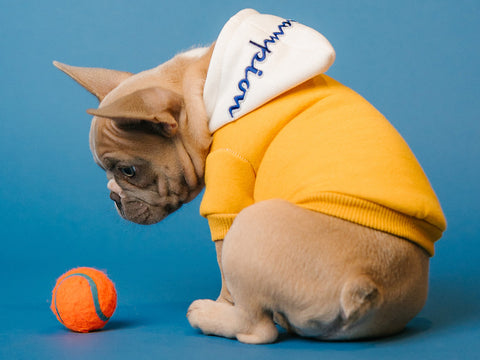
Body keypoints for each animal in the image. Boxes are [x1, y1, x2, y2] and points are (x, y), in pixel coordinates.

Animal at [53, 8, 446, 344]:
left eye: (128, 171)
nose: (112, 196)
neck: (201, 87)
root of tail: (364, 285)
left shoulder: (228, 177)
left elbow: (225, 267)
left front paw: (222, 303)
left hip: (253, 225)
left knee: (257, 328)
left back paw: (211, 316)